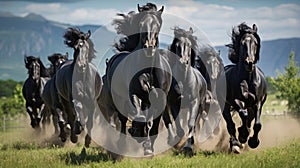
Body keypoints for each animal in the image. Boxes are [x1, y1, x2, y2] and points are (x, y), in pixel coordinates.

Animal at [101, 2, 171, 156]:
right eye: (141, 24)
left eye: (158, 25)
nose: (149, 47)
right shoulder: (134, 94)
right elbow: (139, 117)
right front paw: (137, 132)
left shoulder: (160, 99)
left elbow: (153, 124)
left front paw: (149, 148)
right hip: (118, 98)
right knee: (122, 119)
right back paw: (122, 143)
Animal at [219, 22, 268, 154]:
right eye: (242, 43)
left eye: (255, 43)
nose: (249, 63)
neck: (247, 79)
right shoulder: (236, 100)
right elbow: (242, 114)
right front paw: (243, 136)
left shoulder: (257, 102)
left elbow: (257, 124)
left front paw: (253, 142)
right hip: (225, 106)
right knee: (230, 124)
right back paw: (235, 144)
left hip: (250, 106)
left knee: (249, 121)